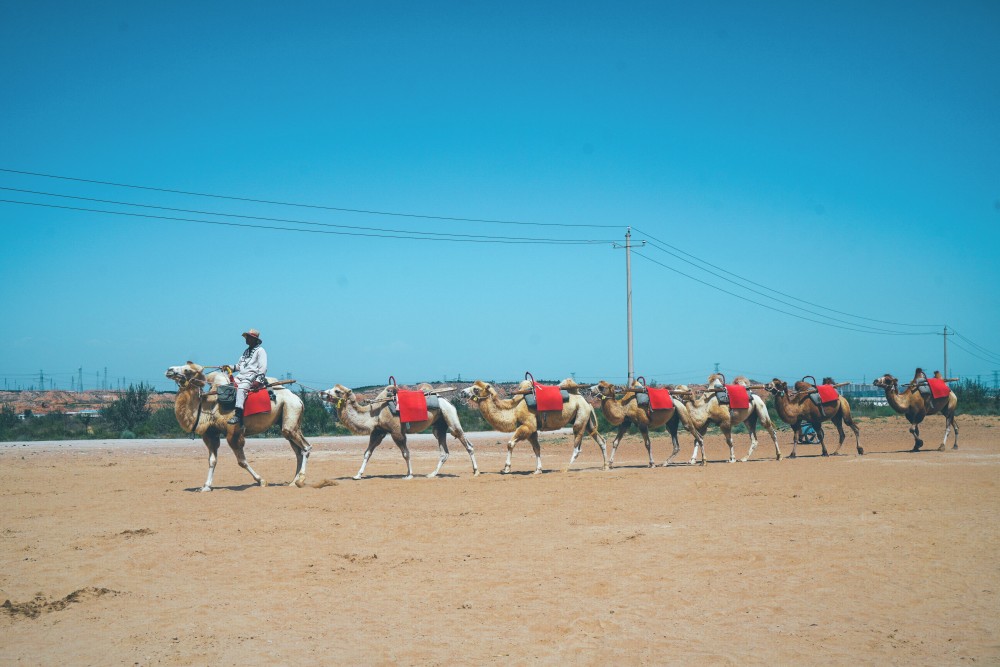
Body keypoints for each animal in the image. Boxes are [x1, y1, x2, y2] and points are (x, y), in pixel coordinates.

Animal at [164, 362, 312, 494]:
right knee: (297, 451)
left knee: (306, 448)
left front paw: (261, 481)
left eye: (187, 369)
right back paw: (293, 482)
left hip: (290, 411)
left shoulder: (233, 432)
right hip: (288, 423)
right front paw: (205, 487)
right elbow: (212, 461)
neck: (208, 407)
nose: (169, 370)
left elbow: (242, 461)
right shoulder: (211, 434)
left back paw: (300, 480)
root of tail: (298, 399)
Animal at [320, 380, 476, 480]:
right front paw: (358, 475)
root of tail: (448, 401)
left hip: (450, 417)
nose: (321, 393)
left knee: (467, 443)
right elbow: (367, 453)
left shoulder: (396, 432)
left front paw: (409, 475)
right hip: (440, 425)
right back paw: (432, 474)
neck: (374, 414)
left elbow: (406, 453)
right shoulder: (378, 431)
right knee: (444, 450)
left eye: (337, 391)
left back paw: (475, 471)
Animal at [458, 380, 604, 474]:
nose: (462, 392)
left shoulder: (527, 425)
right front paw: (538, 470)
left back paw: (566, 468)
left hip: (580, 419)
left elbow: (510, 444)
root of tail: (586, 401)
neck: (514, 409)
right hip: (586, 420)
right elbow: (536, 449)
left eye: (476, 389)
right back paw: (606, 466)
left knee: (577, 447)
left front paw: (506, 468)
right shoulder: (532, 431)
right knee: (601, 440)